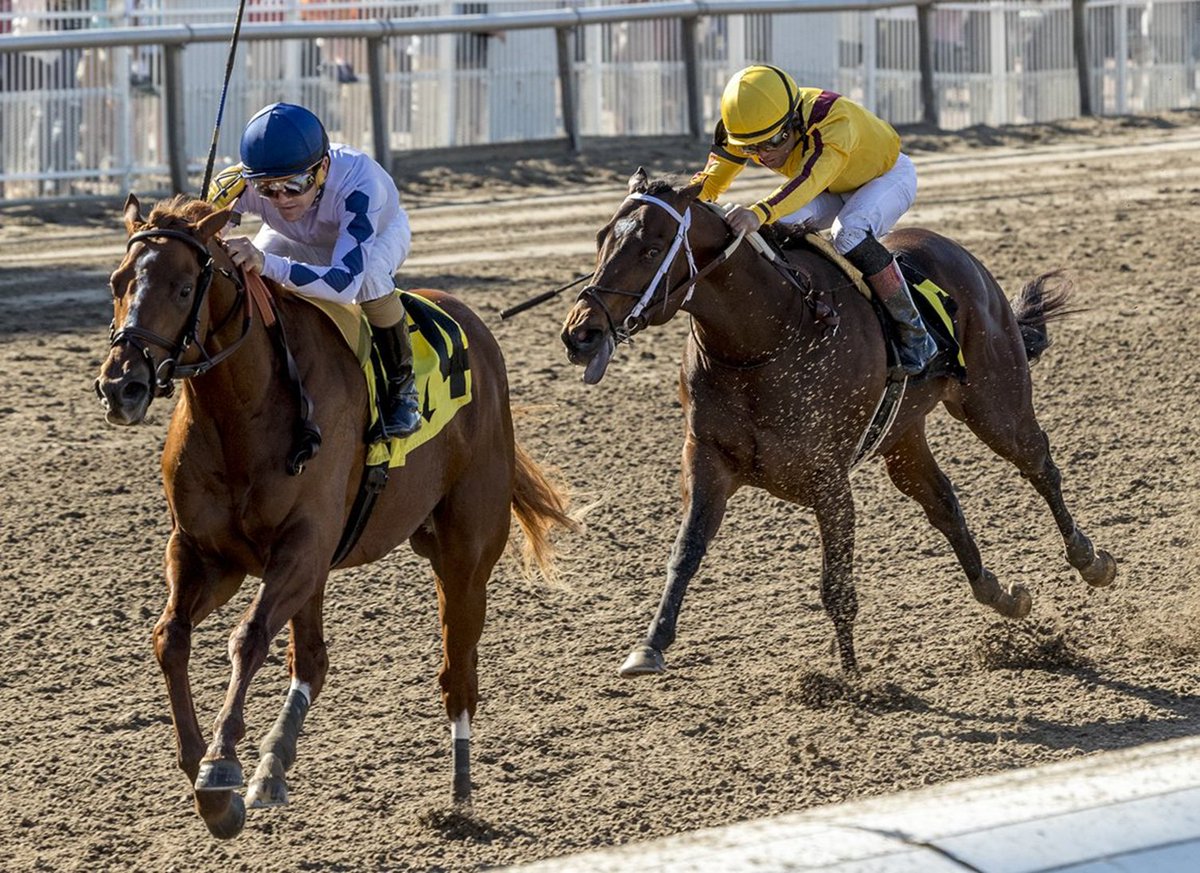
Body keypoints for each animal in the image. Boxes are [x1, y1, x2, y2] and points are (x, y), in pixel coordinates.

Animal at [93, 196, 571, 839]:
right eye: (118, 282)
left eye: (185, 285)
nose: (122, 385)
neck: (245, 411)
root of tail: (471, 323)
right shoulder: (206, 552)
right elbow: (170, 637)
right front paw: (207, 776)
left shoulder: (302, 546)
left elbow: (248, 638)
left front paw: (221, 768)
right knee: (314, 661)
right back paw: (274, 766)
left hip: (464, 552)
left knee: (458, 672)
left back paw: (460, 795)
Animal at [561, 172, 1113, 681]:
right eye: (601, 238)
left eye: (652, 248)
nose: (580, 334)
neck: (764, 339)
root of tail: (959, 254)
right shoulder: (706, 460)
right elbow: (686, 552)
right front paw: (649, 645)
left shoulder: (827, 479)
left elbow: (836, 585)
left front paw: (851, 681)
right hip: (902, 436)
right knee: (943, 501)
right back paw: (1001, 595)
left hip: (994, 403)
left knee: (1038, 463)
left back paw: (1090, 560)